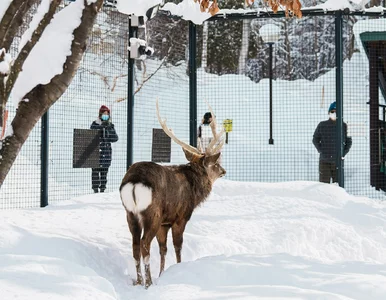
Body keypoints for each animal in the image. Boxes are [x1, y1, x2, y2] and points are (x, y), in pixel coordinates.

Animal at [119, 99, 225, 288]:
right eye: (214, 164)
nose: (223, 171)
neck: (195, 190)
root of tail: (134, 181)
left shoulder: (164, 223)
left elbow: (163, 249)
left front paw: (162, 273)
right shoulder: (180, 216)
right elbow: (177, 246)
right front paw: (177, 269)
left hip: (130, 213)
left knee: (135, 245)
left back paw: (138, 281)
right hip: (152, 213)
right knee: (145, 244)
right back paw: (148, 282)